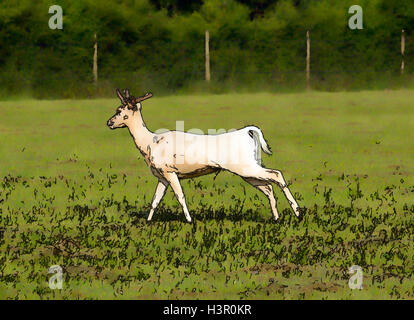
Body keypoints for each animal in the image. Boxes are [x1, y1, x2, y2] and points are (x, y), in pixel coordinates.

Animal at [106, 88, 300, 222]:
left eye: (119, 110)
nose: (109, 122)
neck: (150, 143)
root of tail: (248, 131)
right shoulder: (161, 176)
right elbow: (155, 200)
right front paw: (147, 221)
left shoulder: (170, 170)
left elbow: (180, 196)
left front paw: (189, 220)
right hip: (248, 170)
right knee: (268, 187)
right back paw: (276, 218)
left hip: (245, 166)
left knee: (276, 174)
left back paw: (298, 212)